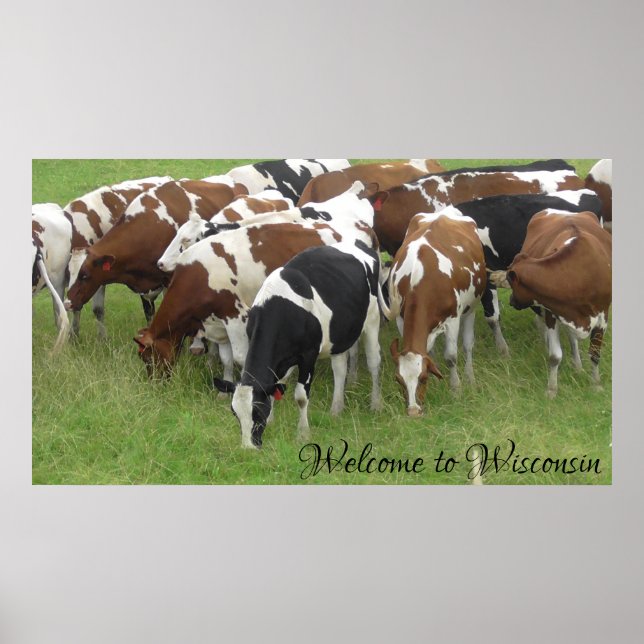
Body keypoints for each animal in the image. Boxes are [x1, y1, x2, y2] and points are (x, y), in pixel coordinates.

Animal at [213, 240, 385, 449]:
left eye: (258, 412)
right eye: (235, 413)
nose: (248, 448)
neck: (280, 308)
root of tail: (359, 243)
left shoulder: (308, 355)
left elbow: (301, 397)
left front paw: (303, 433)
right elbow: (275, 387)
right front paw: (273, 421)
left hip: (372, 320)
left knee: (374, 362)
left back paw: (376, 404)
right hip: (338, 334)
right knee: (340, 368)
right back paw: (336, 409)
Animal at [385, 211, 487, 416]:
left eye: (423, 378)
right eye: (398, 379)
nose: (413, 411)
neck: (419, 279)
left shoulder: (453, 319)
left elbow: (451, 356)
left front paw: (456, 389)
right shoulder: (400, 317)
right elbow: (429, 354)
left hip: (471, 308)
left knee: (468, 345)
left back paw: (470, 377)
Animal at [501, 210, 611, 397]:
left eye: (510, 280)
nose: (511, 301)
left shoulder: (603, 314)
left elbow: (595, 353)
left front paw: (596, 384)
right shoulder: (552, 312)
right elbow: (555, 356)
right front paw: (551, 389)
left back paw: (577, 366)